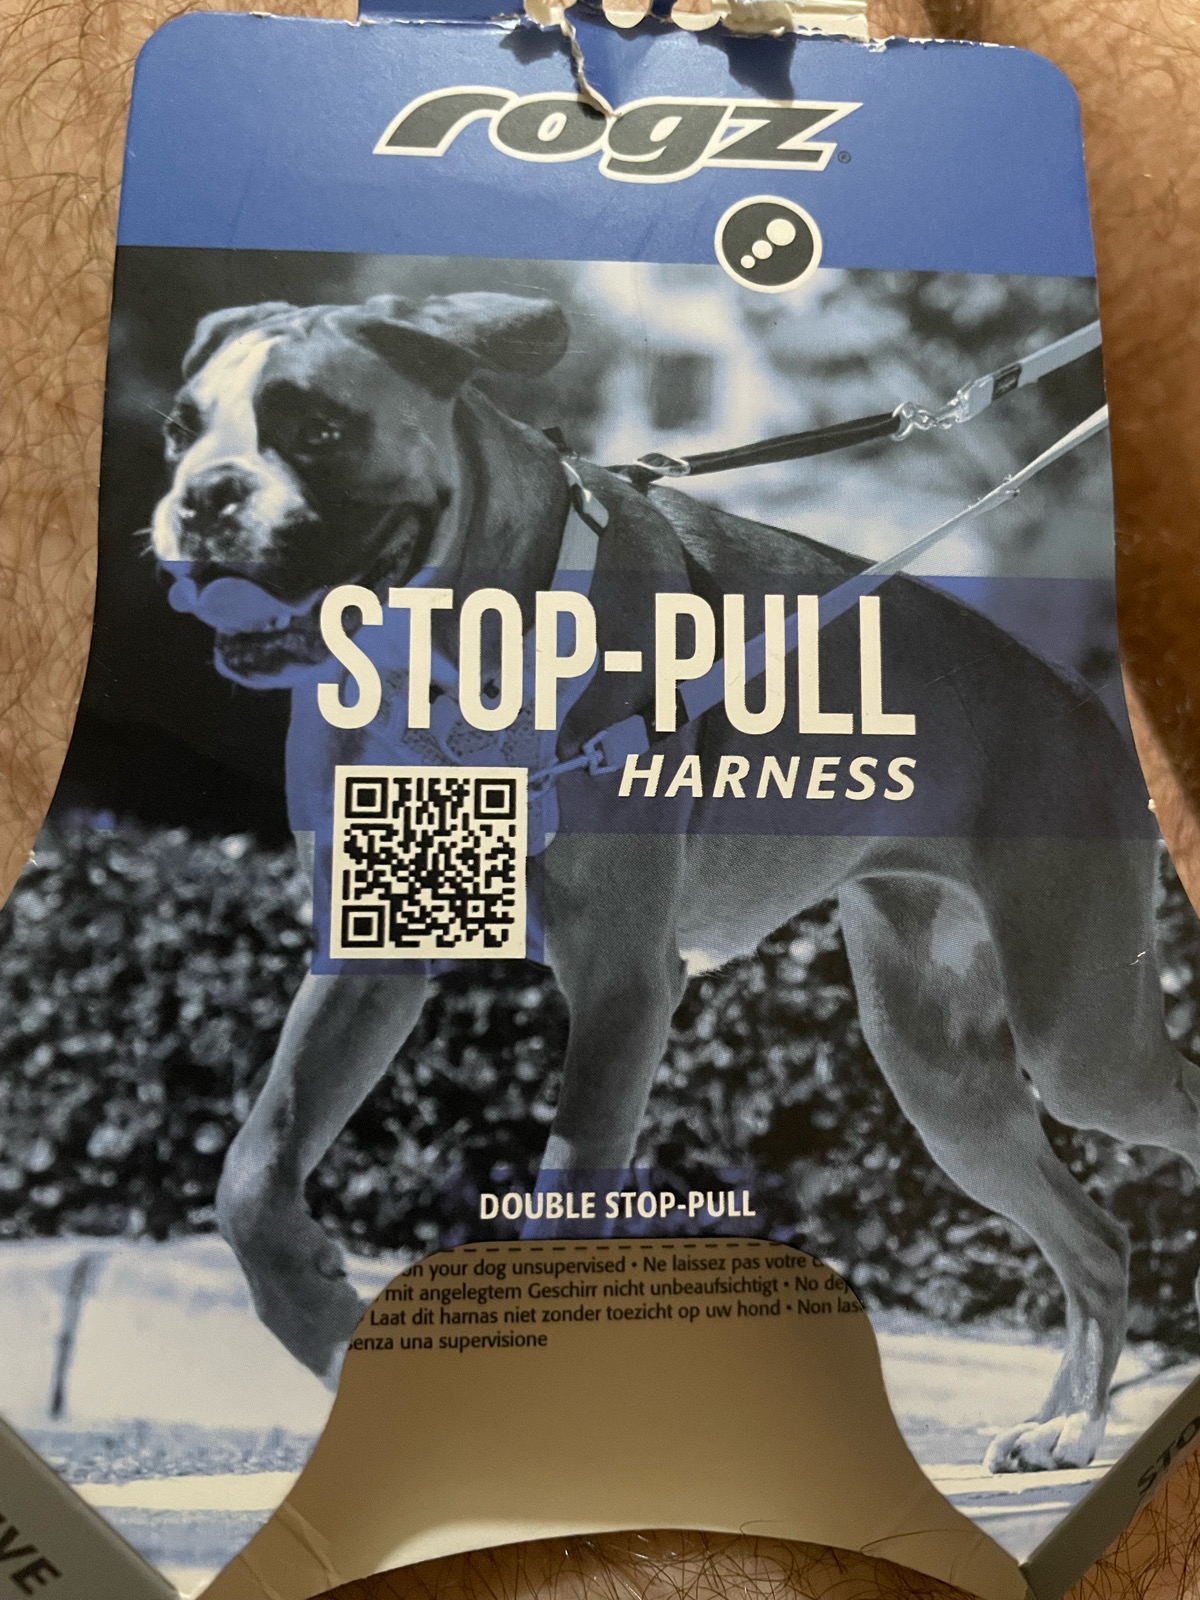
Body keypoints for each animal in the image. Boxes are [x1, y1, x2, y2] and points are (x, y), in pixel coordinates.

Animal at [150, 289, 1200, 1474]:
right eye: (179, 433)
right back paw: (1066, 1425)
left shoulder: (622, 987)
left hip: (1079, 1045)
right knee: (1096, 1237)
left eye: (319, 427)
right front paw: (325, 1326)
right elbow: (250, 1172)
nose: (205, 496)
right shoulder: (370, 960)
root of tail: (1084, 700)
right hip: (944, 1079)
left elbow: (561, 1198)